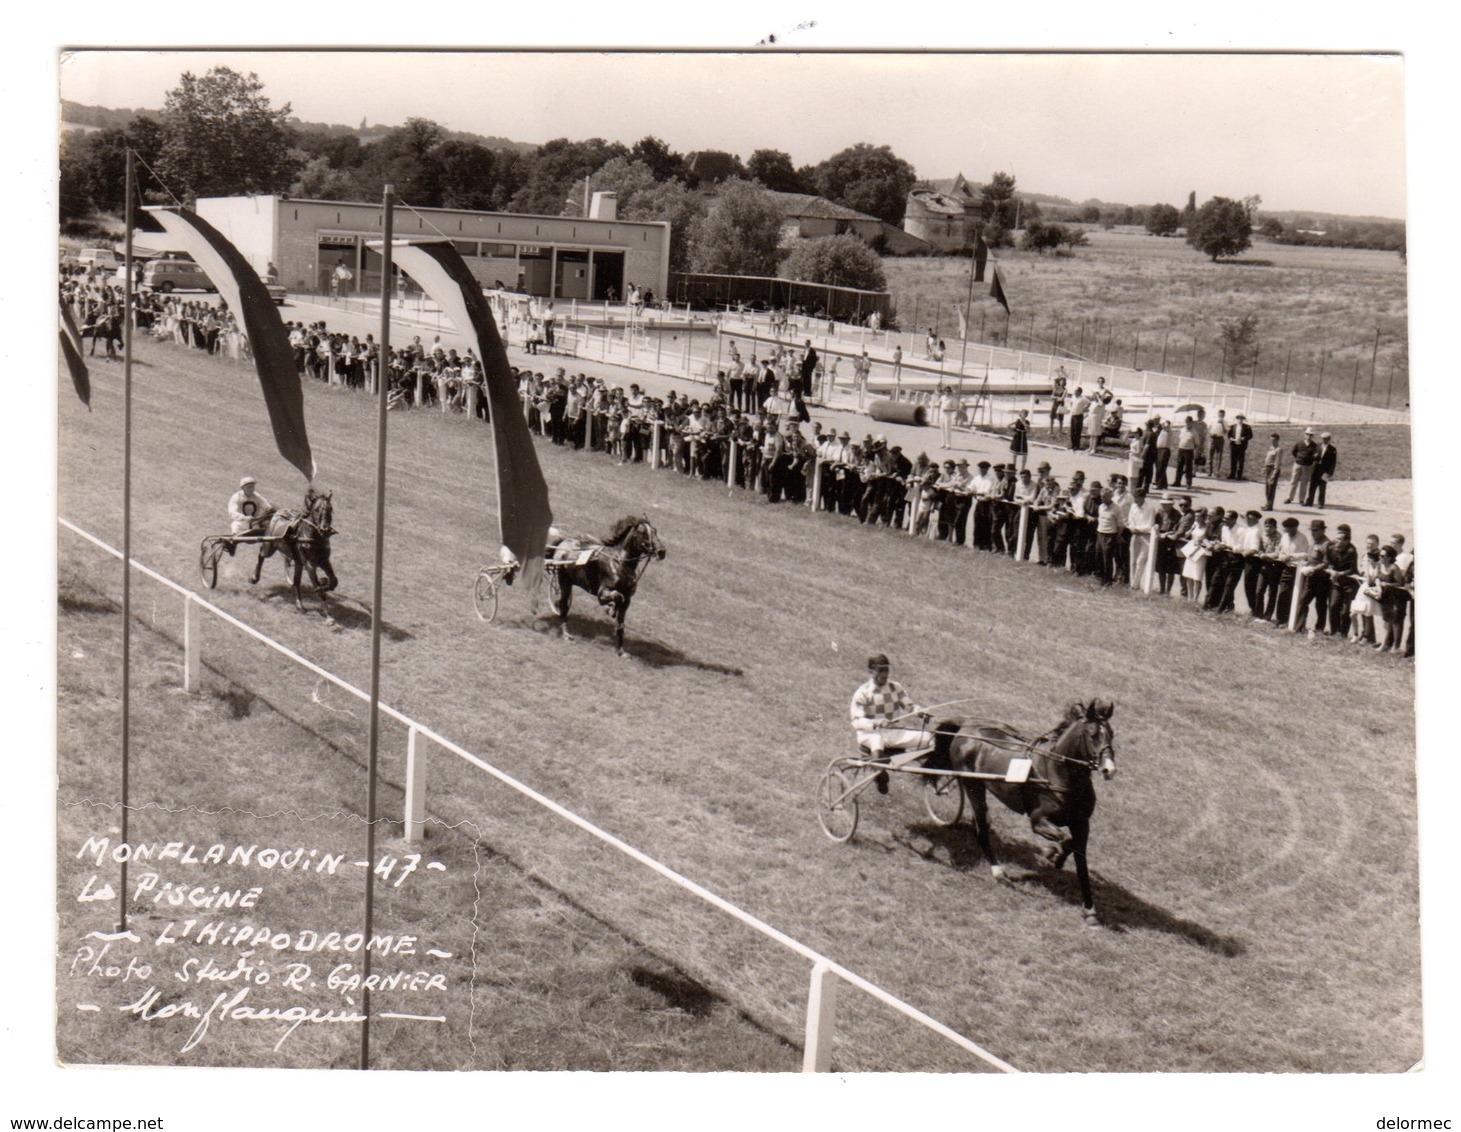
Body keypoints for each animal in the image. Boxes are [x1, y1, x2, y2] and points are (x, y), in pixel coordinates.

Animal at [546, 514, 666, 654]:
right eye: (643, 533)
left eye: (655, 531)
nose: (661, 551)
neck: (620, 562)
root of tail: (564, 541)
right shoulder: (603, 592)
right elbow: (615, 596)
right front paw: (610, 608)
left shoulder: (628, 600)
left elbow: (620, 624)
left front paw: (621, 651)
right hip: (565, 581)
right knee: (563, 606)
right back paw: (566, 634)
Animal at [935, 698, 1116, 928]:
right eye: (1092, 734)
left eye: (1111, 733)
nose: (1109, 769)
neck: (1057, 774)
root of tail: (966, 726)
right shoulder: (1038, 820)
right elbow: (1066, 841)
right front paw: (1051, 854)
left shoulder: (1082, 824)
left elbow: (1080, 861)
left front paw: (1090, 910)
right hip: (973, 786)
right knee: (981, 829)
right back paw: (999, 872)